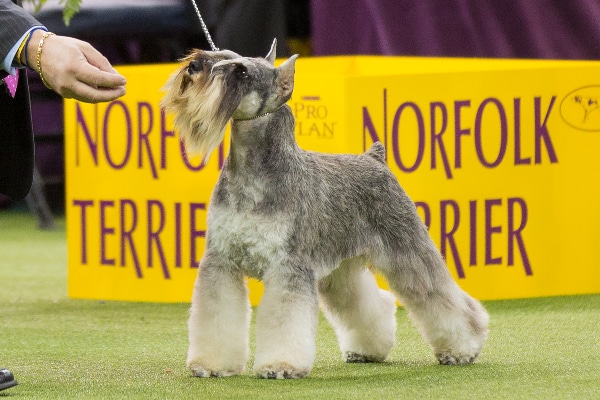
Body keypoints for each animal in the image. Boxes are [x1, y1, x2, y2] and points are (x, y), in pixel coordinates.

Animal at [162, 42, 490, 380]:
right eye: (222, 55)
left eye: (241, 71)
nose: (194, 66)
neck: (251, 173)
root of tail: (375, 158)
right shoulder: (221, 262)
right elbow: (216, 315)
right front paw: (211, 364)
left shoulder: (289, 267)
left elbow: (285, 320)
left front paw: (281, 365)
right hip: (340, 270)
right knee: (367, 303)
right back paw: (367, 349)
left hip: (407, 250)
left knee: (441, 296)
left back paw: (462, 348)